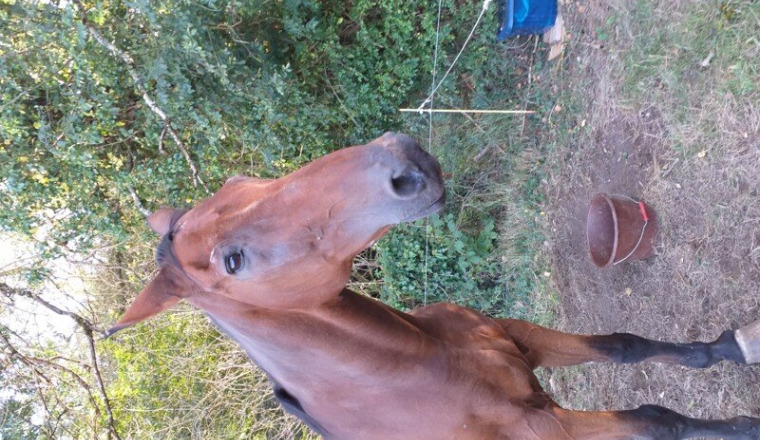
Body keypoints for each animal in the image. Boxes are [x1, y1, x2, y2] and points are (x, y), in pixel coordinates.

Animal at [109, 132, 760, 439]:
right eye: (233, 260)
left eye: (241, 180)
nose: (404, 161)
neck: (421, 366)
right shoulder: (546, 428)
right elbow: (660, 420)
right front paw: (745, 427)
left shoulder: (521, 340)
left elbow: (627, 345)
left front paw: (730, 348)